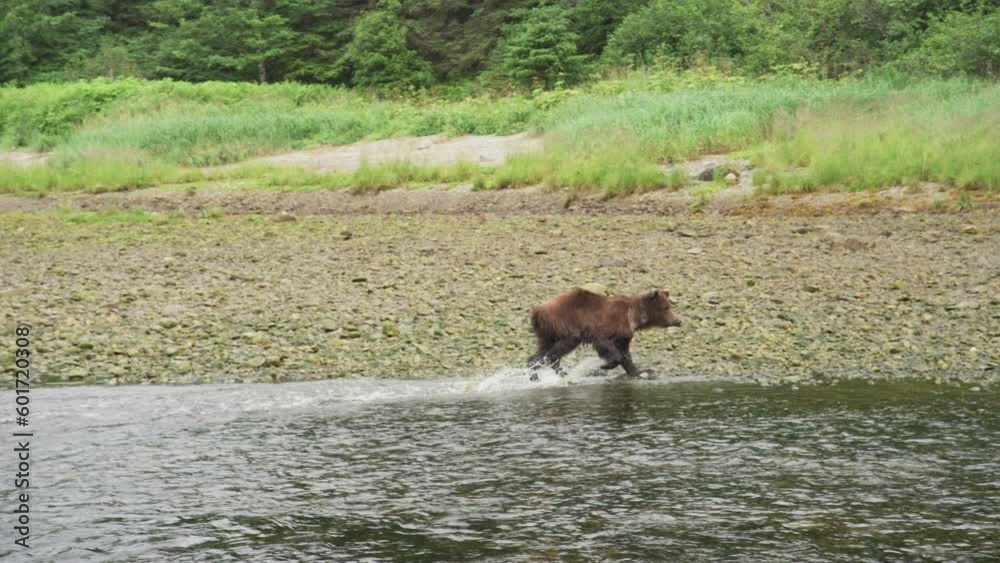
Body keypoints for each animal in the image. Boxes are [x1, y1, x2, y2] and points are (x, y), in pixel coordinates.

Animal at [527, 288, 682, 380]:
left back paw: (539, 372)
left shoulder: (624, 335)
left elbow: (625, 354)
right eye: (666, 307)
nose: (678, 320)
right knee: (562, 346)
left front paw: (639, 371)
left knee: (543, 349)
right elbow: (608, 347)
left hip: (547, 332)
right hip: (565, 323)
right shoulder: (604, 328)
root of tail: (537, 310)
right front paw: (605, 365)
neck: (633, 317)